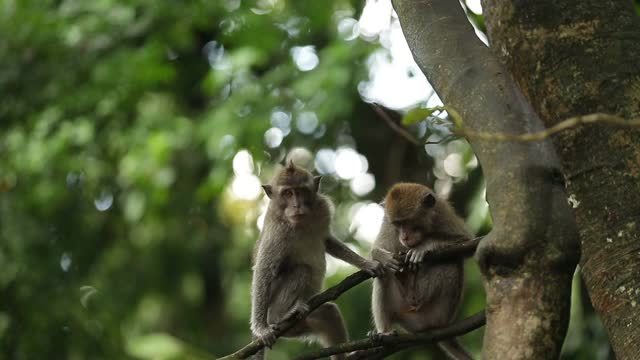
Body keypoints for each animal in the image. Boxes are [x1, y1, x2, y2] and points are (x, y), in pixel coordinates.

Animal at [251, 161, 384, 360]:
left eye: (300, 191)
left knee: (330, 313)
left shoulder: (323, 209)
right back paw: (281, 316)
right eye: (288, 193)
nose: (296, 205)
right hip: (273, 309)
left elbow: (328, 241)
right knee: (302, 270)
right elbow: (264, 270)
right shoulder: (276, 230)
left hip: (305, 323)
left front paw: (367, 264)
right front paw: (261, 329)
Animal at [370, 183, 476, 360]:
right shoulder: (387, 225)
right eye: (397, 224)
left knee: (450, 261)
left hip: (438, 313)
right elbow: (374, 253)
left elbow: (467, 243)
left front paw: (424, 247)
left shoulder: (443, 214)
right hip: (406, 316)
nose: (404, 237)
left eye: (408, 222)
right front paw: (382, 257)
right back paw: (385, 333)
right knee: (383, 275)